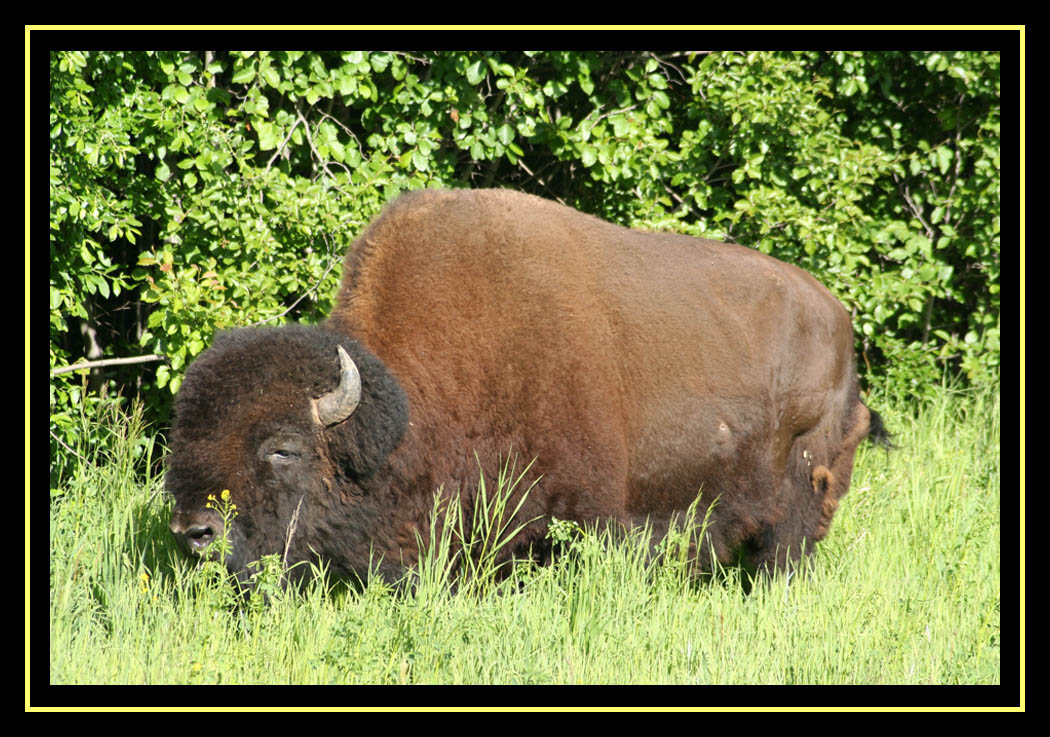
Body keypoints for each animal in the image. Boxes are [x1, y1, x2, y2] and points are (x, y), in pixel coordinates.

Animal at [167, 188, 887, 587]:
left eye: (283, 447)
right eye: (185, 434)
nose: (193, 532)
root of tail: (838, 316)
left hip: (805, 483)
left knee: (786, 549)